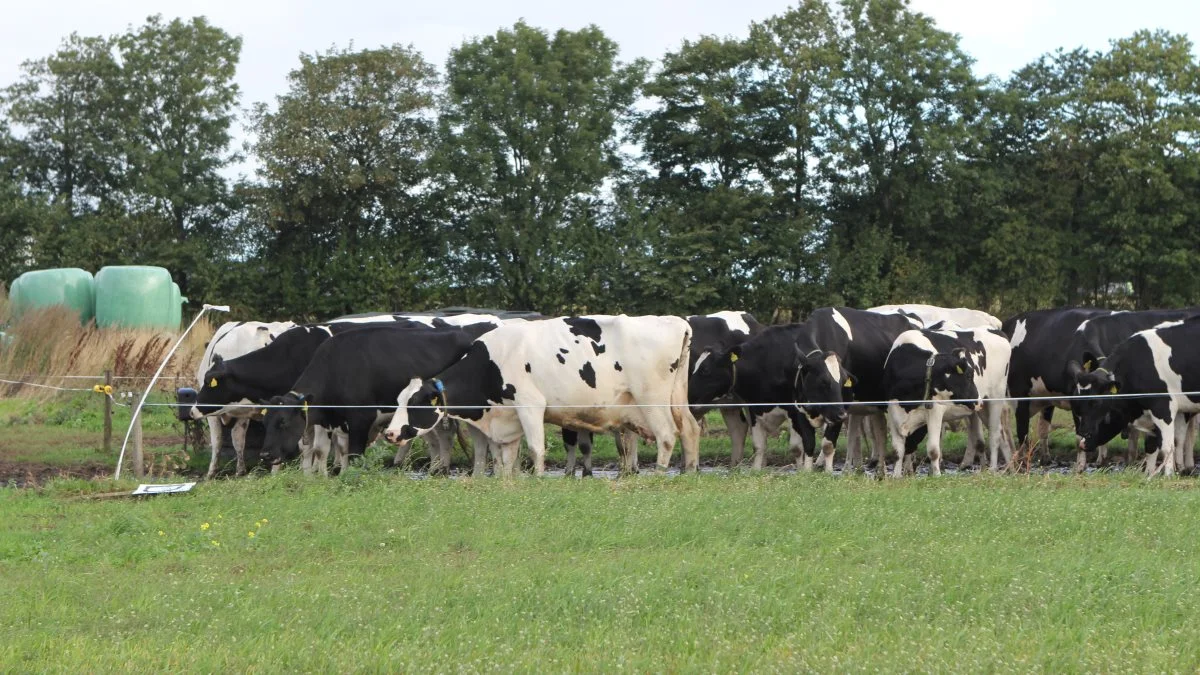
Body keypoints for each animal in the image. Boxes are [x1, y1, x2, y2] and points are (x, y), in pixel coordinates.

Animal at [259, 324, 492, 473]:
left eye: (283, 422)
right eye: (265, 422)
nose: (265, 455)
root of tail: (462, 333)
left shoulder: (361, 419)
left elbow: (353, 454)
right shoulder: (332, 420)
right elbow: (331, 450)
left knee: (448, 434)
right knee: (443, 434)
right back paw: (438, 468)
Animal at [384, 314, 700, 473]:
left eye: (416, 402)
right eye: (398, 400)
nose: (390, 433)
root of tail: (675, 321)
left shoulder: (530, 405)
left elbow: (536, 448)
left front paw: (537, 480)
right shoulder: (507, 418)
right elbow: (504, 457)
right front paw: (507, 484)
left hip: (651, 399)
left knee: (667, 435)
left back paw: (659, 475)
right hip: (676, 398)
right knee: (690, 429)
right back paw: (689, 471)